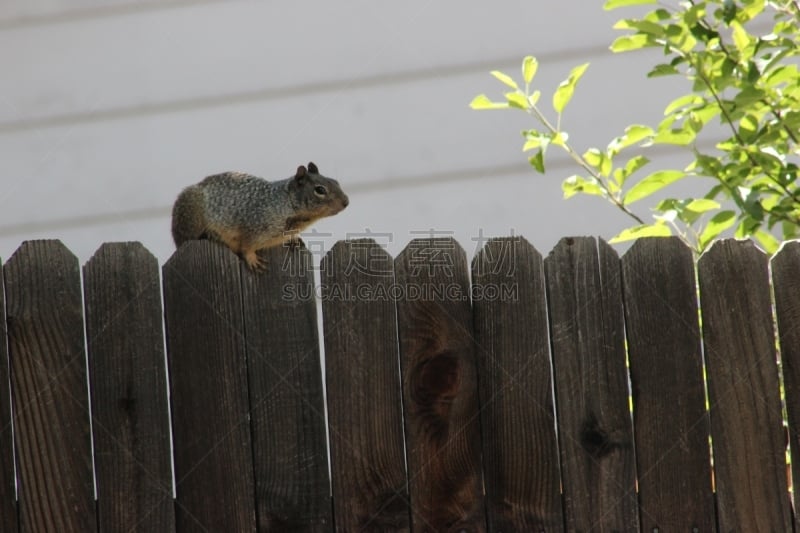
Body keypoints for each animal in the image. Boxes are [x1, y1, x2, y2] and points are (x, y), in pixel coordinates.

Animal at [170, 161, 348, 270]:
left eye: (336, 182)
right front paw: (252, 259)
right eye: (320, 190)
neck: (286, 203)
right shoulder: (255, 225)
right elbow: (247, 245)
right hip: (190, 216)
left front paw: (294, 240)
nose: (346, 202)